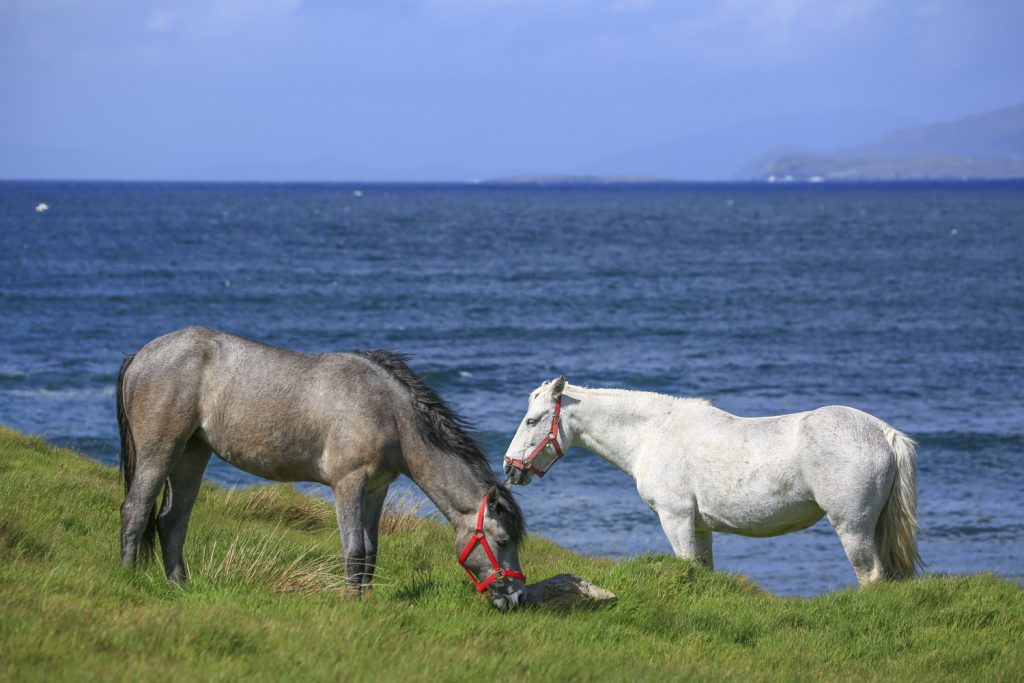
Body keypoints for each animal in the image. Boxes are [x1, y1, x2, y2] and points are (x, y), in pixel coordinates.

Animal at [119, 325, 528, 610]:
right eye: (502, 541)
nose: (517, 599)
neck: (389, 413)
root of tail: (141, 355)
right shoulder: (348, 483)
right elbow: (355, 550)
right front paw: (351, 604)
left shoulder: (376, 489)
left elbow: (371, 551)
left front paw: (365, 601)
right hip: (161, 450)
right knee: (135, 510)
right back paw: (127, 578)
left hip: (192, 453)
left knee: (171, 521)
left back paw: (179, 585)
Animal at [501, 376, 921, 585]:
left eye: (532, 420)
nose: (509, 469)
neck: (652, 433)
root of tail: (884, 433)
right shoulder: (700, 527)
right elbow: (701, 569)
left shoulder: (675, 518)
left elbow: (686, 564)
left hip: (852, 527)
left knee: (871, 575)